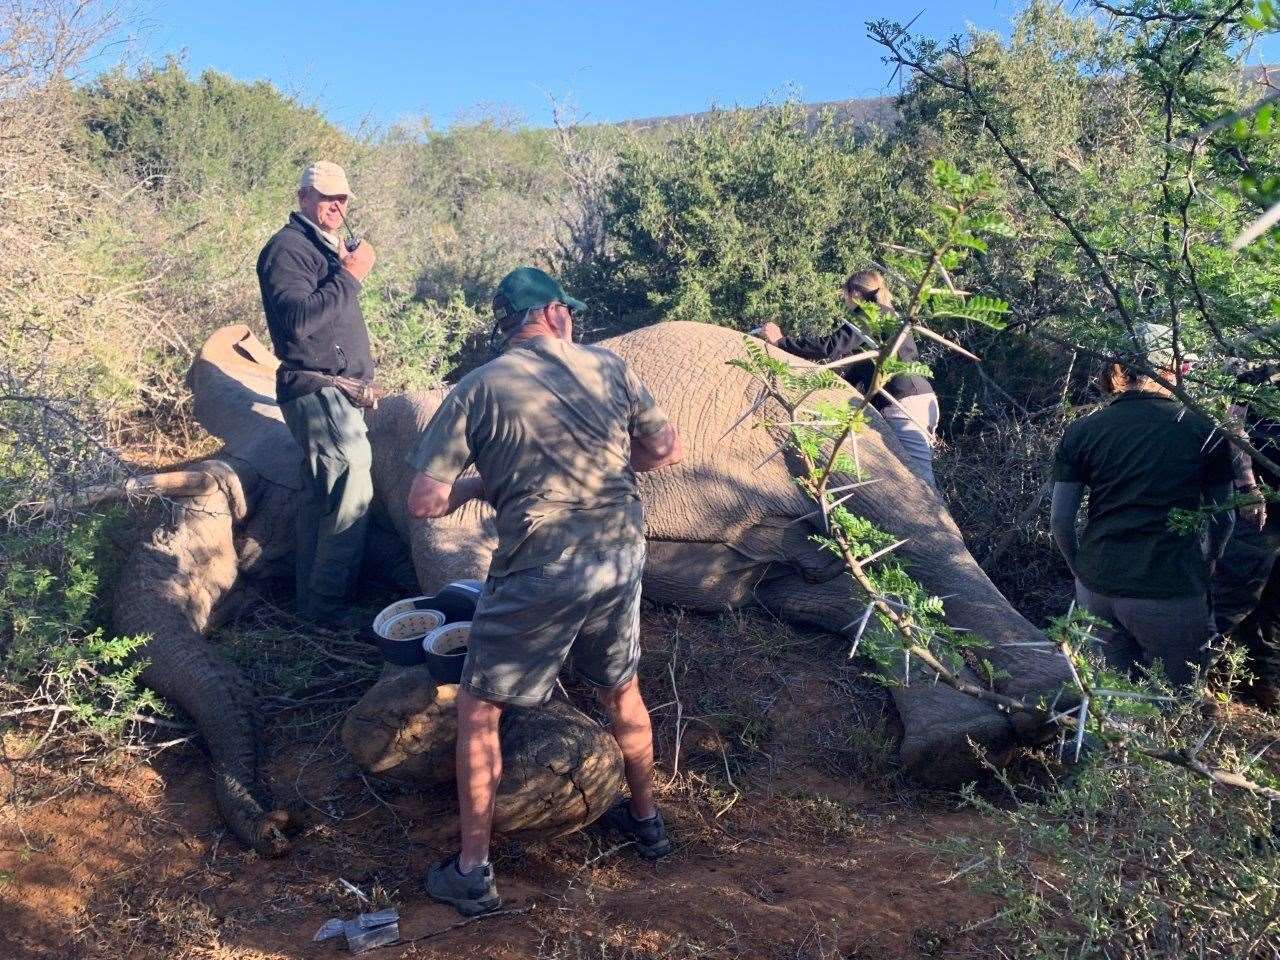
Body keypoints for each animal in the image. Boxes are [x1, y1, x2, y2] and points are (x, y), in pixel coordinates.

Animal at [107, 321, 1070, 855]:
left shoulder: (438, 444)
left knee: (913, 530)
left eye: (218, 531)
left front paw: (533, 778)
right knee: (832, 587)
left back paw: (1025, 728)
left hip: (832, 425)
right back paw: (966, 747)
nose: (282, 827)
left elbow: (466, 560)